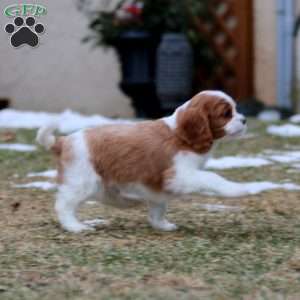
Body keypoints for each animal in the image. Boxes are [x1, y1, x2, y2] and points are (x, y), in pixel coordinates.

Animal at [37, 89, 248, 232]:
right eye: (226, 114)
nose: (245, 120)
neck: (179, 134)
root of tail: (63, 141)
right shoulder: (179, 176)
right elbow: (212, 177)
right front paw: (236, 189)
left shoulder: (158, 187)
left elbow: (158, 207)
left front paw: (161, 225)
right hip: (82, 182)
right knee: (64, 205)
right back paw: (76, 227)